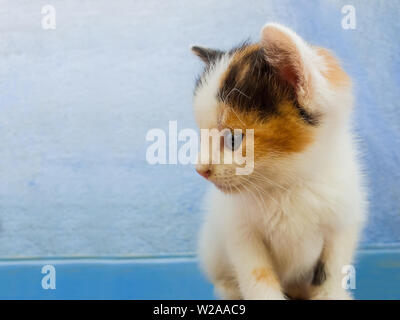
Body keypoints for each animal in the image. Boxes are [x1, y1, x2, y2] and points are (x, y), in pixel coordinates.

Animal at [190, 23, 366, 300]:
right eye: (203, 135)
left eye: (233, 139)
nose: (200, 170)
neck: (287, 184)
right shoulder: (241, 232)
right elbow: (257, 276)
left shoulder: (344, 221)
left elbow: (331, 269)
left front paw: (331, 293)